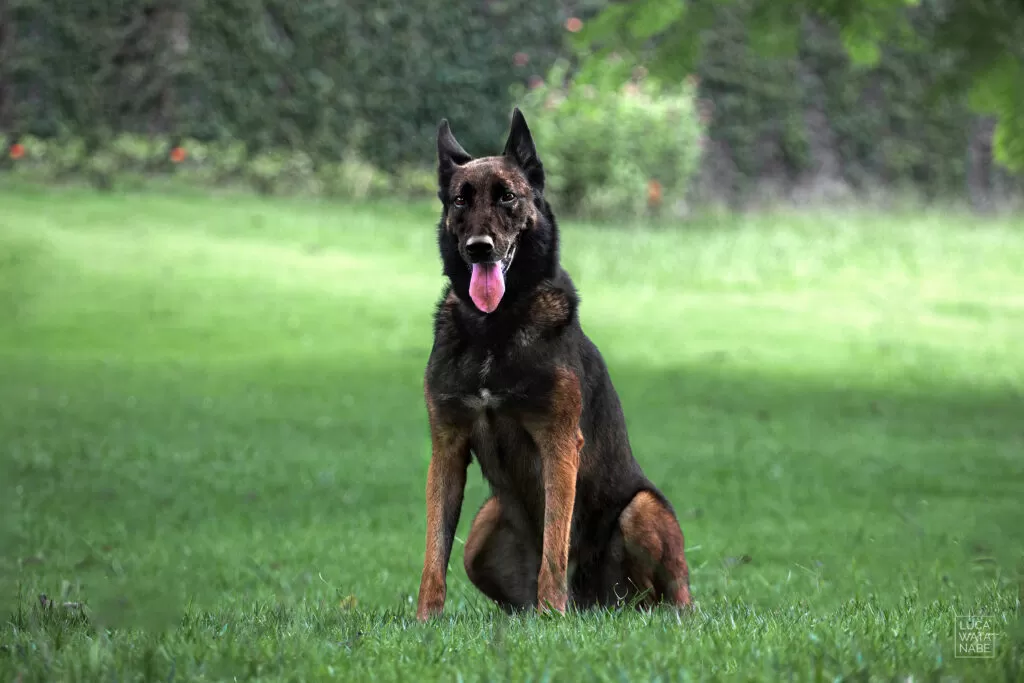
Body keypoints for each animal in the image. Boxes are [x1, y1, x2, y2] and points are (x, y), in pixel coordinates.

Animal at [411, 105, 692, 618]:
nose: (479, 247)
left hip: (643, 509)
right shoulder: (447, 447)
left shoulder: (559, 443)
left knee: (664, 597)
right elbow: (433, 553)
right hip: (481, 534)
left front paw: (550, 618)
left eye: (507, 196)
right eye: (460, 200)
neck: (494, 328)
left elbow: (555, 546)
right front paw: (425, 621)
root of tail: (598, 604)